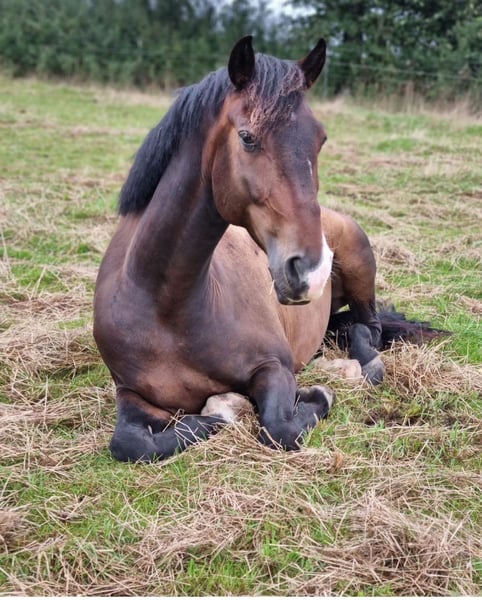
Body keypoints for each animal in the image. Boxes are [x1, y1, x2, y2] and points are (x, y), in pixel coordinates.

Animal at [93, 37, 436, 463]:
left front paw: (315, 395)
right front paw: (222, 409)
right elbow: (129, 443)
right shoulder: (131, 393)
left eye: (320, 139)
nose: (311, 271)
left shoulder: (274, 367)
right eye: (247, 137)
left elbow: (279, 427)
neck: (164, 307)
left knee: (366, 334)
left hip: (359, 264)